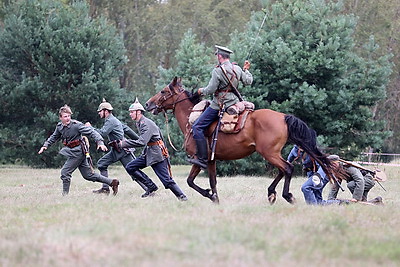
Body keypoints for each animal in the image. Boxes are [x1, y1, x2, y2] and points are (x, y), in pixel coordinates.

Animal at [145, 77, 332, 205]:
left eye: (163, 91)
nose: (148, 104)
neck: (192, 120)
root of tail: (283, 117)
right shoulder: (211, 161)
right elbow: (212, 181)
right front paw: (215, 198)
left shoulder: (199, 160)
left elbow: (190, 181)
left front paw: (209, 195)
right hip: (272, 153)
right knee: (283, 169)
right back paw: (271, 193)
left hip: (269, 153)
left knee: (287, 168)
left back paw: (287, 196)